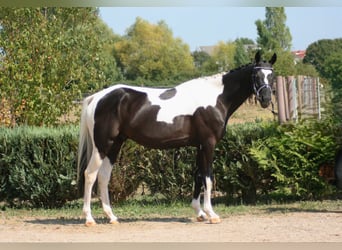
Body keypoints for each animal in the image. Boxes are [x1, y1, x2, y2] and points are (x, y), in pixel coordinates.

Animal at [77, 51, 276, 227]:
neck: (215, 98)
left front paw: (200, 213)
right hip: (102, 145)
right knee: (90, 174)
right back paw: (89, 219)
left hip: (115, 144)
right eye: (256, 75)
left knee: (103, 176)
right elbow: (208, 177)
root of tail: (97, 97)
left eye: (272, 75)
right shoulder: (208, 144)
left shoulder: (199, 146)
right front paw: (211, 214)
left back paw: (111, 217)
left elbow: (198, 176)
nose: (266, 99)